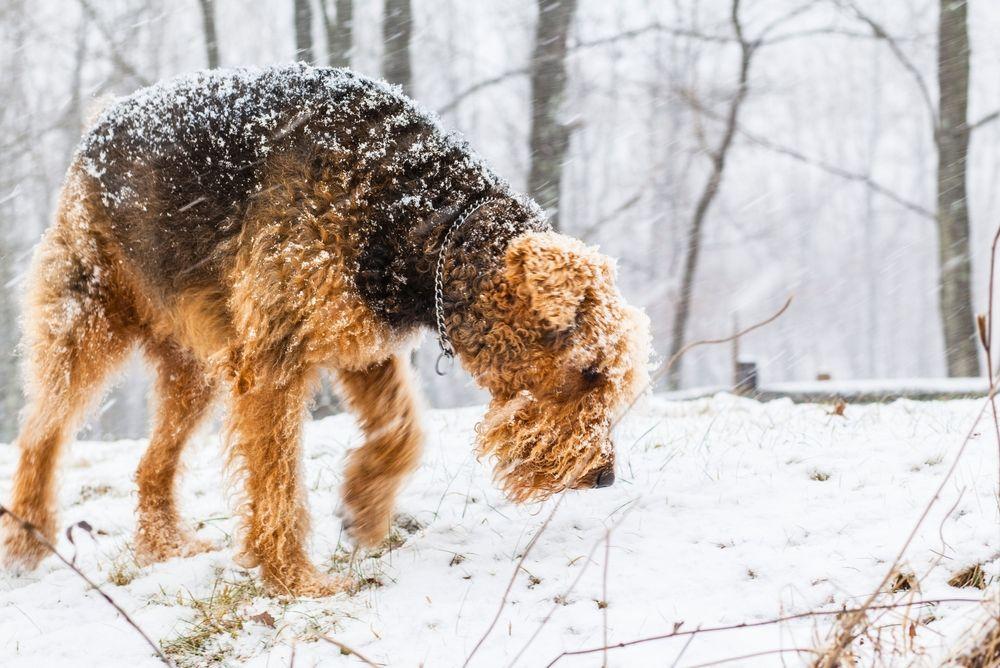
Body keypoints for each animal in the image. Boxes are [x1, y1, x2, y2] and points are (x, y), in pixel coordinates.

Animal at [0, 64, 652, 596]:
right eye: (589, 371)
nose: (602, 476)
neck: (420, 220)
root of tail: (100, 120)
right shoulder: (272, 358)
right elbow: (279, 483)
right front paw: (295, 580)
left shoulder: (362, 343)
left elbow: (404, 431)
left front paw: (364, 508)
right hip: (85, 325)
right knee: (41, 434)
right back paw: (28, 540)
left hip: (195, 363)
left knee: (150, 464)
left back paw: (166, 545)